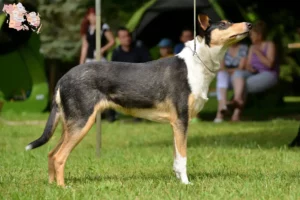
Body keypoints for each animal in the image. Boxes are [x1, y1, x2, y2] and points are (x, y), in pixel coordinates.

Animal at [25, 13, 251, 186]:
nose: (249, 24)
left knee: (51, 154)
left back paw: (52, 186)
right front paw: (187, 184)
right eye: (224, 24)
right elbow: (183, 157)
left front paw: (179, 181)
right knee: (59, 157)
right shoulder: (181, 120)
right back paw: (64, 188)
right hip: (82, 122)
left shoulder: (176, 124)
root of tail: (63, 77)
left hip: (70, 124)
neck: (198, 63)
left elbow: (176, 158)